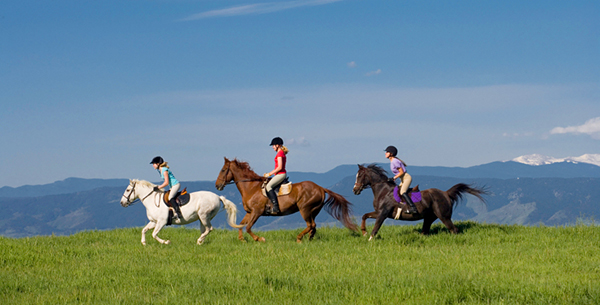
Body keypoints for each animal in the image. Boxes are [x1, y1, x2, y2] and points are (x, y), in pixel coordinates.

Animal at [214, 158, 356, 241]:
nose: (217, 185)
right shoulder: (250, 212)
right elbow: (241, 225)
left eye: (223, 170)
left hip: (305, 209)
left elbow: (248, 227)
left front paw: (259, 239)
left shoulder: (257, 212)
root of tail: (321, 188)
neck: (251, 187)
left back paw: (299, 238)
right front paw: (242, 239)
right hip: (313, 211)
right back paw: (309, 239)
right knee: (313, 226)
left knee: (310, 225)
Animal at [352, 164, 488, 240]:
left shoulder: (383, 214)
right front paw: (363, 232)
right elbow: (364, 216)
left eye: (360, 176)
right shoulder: (378, 212)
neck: (383, 191)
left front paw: (370, 239)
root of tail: (445, 193)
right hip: (429, 217)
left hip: (444, 216)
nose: (355, 190)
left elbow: (376, 227)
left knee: (454, 230)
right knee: (425, 231)